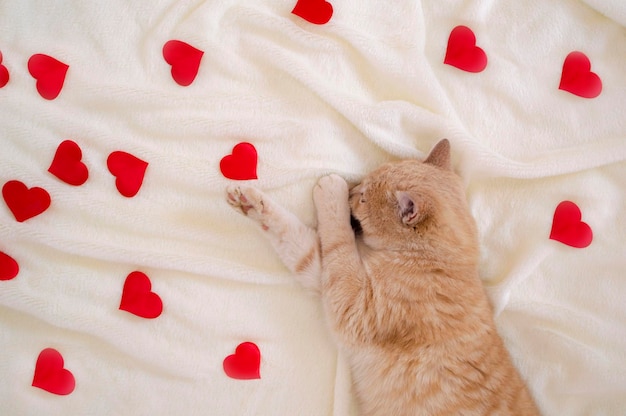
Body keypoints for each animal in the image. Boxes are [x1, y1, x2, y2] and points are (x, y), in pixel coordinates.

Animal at [224, 141, 536, 416]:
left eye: (363, 197)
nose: (351, 189)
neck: (438, 261)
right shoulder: (327, 278)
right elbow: (297, 240)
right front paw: (252, 203)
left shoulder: (351, 306)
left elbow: (338, 239)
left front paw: (331, 193)